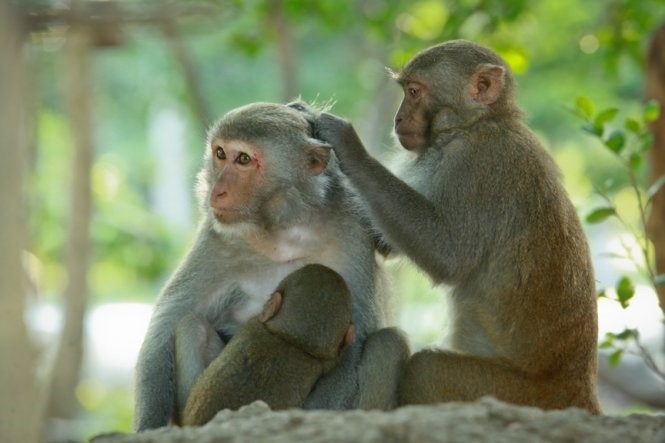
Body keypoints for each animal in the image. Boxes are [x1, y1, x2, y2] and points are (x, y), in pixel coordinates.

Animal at [312, 40, 600, 414]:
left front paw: (349, 147)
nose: (398, 118)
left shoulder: (477, 165)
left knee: (425, 370)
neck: (475, 124)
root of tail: (582, 390)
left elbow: (450, 256)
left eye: (414, 91)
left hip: (517, 395)